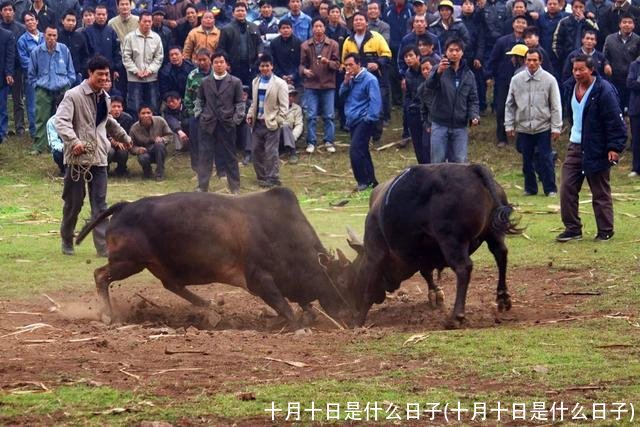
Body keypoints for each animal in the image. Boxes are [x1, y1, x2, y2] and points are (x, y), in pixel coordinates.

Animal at [76, 190, 356, 328]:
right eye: (341, 280)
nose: (349, 314)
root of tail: (125, 206)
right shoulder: (259, 280)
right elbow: (284, 305)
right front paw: (297, 323)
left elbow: (302, 305)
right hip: (129, 262)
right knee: (100, 275)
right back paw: (108, 315)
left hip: (154, 265)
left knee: (173, 285)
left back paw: (209, 305)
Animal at [344, 163, 520, 328]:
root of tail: (471, 169)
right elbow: (426, 272)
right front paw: (435, 293)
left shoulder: (375, 253)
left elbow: (369, 288)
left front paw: (359, 320)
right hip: (494, 233)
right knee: (501, 254)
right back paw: (503, 297)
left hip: (451, 240)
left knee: (464, 267)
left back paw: (456, 316)